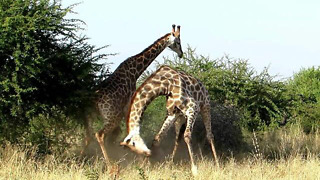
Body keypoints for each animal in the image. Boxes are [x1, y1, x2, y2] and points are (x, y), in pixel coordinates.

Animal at [81, 24, 184, 165]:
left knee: (88, 136)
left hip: (91, 116)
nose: (181, 54)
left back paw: (81, 160)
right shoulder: (127, 105)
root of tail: (93, 100)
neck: (136, 71)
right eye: (178, 42)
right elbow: (128, 130)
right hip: (111, 116)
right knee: (99, 135)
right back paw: (110, 165)